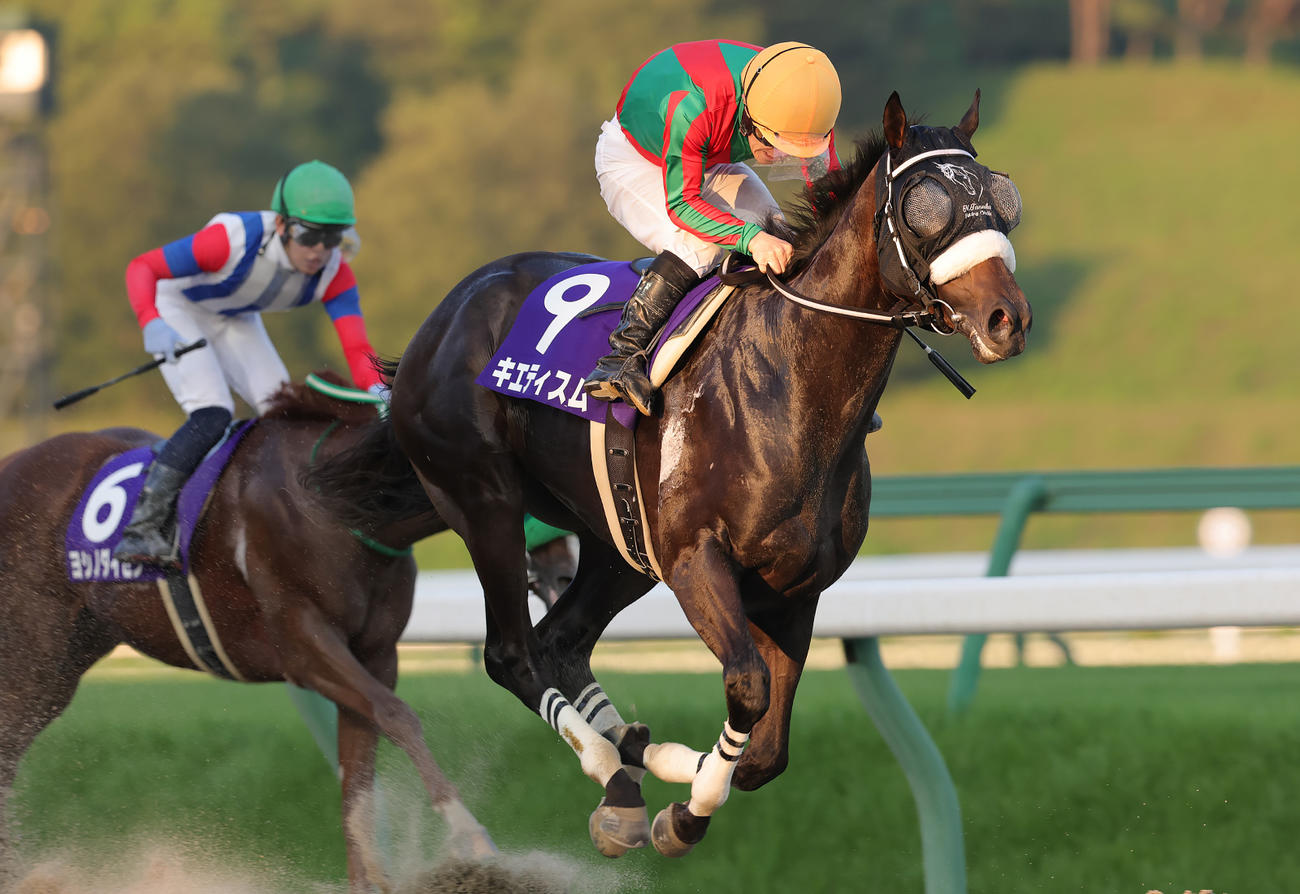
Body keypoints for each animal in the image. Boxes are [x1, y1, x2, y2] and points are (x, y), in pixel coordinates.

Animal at [0, 372, 573, 892]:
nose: (568, 576)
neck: (336, 502)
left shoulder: (375, 654)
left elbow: (358, 770)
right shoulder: (303, 644)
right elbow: (397, 717)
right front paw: (473, 840)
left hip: (68, 657)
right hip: (33, 656)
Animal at [309, 91, 1032, 858]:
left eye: (1002, 198)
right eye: (927, 204)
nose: (1007, 318)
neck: (784, 382)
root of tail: (438, 322)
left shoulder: (796, 588)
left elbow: (766, 754)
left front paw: (684, 778)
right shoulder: (694, 557)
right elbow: (747, 687)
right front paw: (684, 812)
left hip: (617, 540)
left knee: (562, 641)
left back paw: (631, 765)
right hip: (485, 505)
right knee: (513, 654)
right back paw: (616, 770)